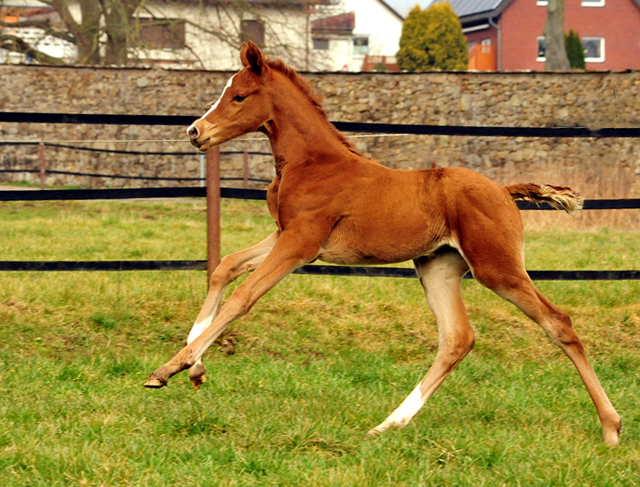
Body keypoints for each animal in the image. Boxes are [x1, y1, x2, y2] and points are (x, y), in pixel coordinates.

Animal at [146, 42, 620, 446]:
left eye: (239, 96)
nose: (194, 131)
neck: (312, 162)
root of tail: (503, 190)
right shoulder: (284, 234)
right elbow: (225, 266)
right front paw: (193, 368)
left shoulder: (300, 242)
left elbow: (244, 296)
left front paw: (169, 367)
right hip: (437, 268)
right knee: (457, 338)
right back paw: (388, 424)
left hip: (497, 268)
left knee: (557, 322)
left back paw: (611, 427)